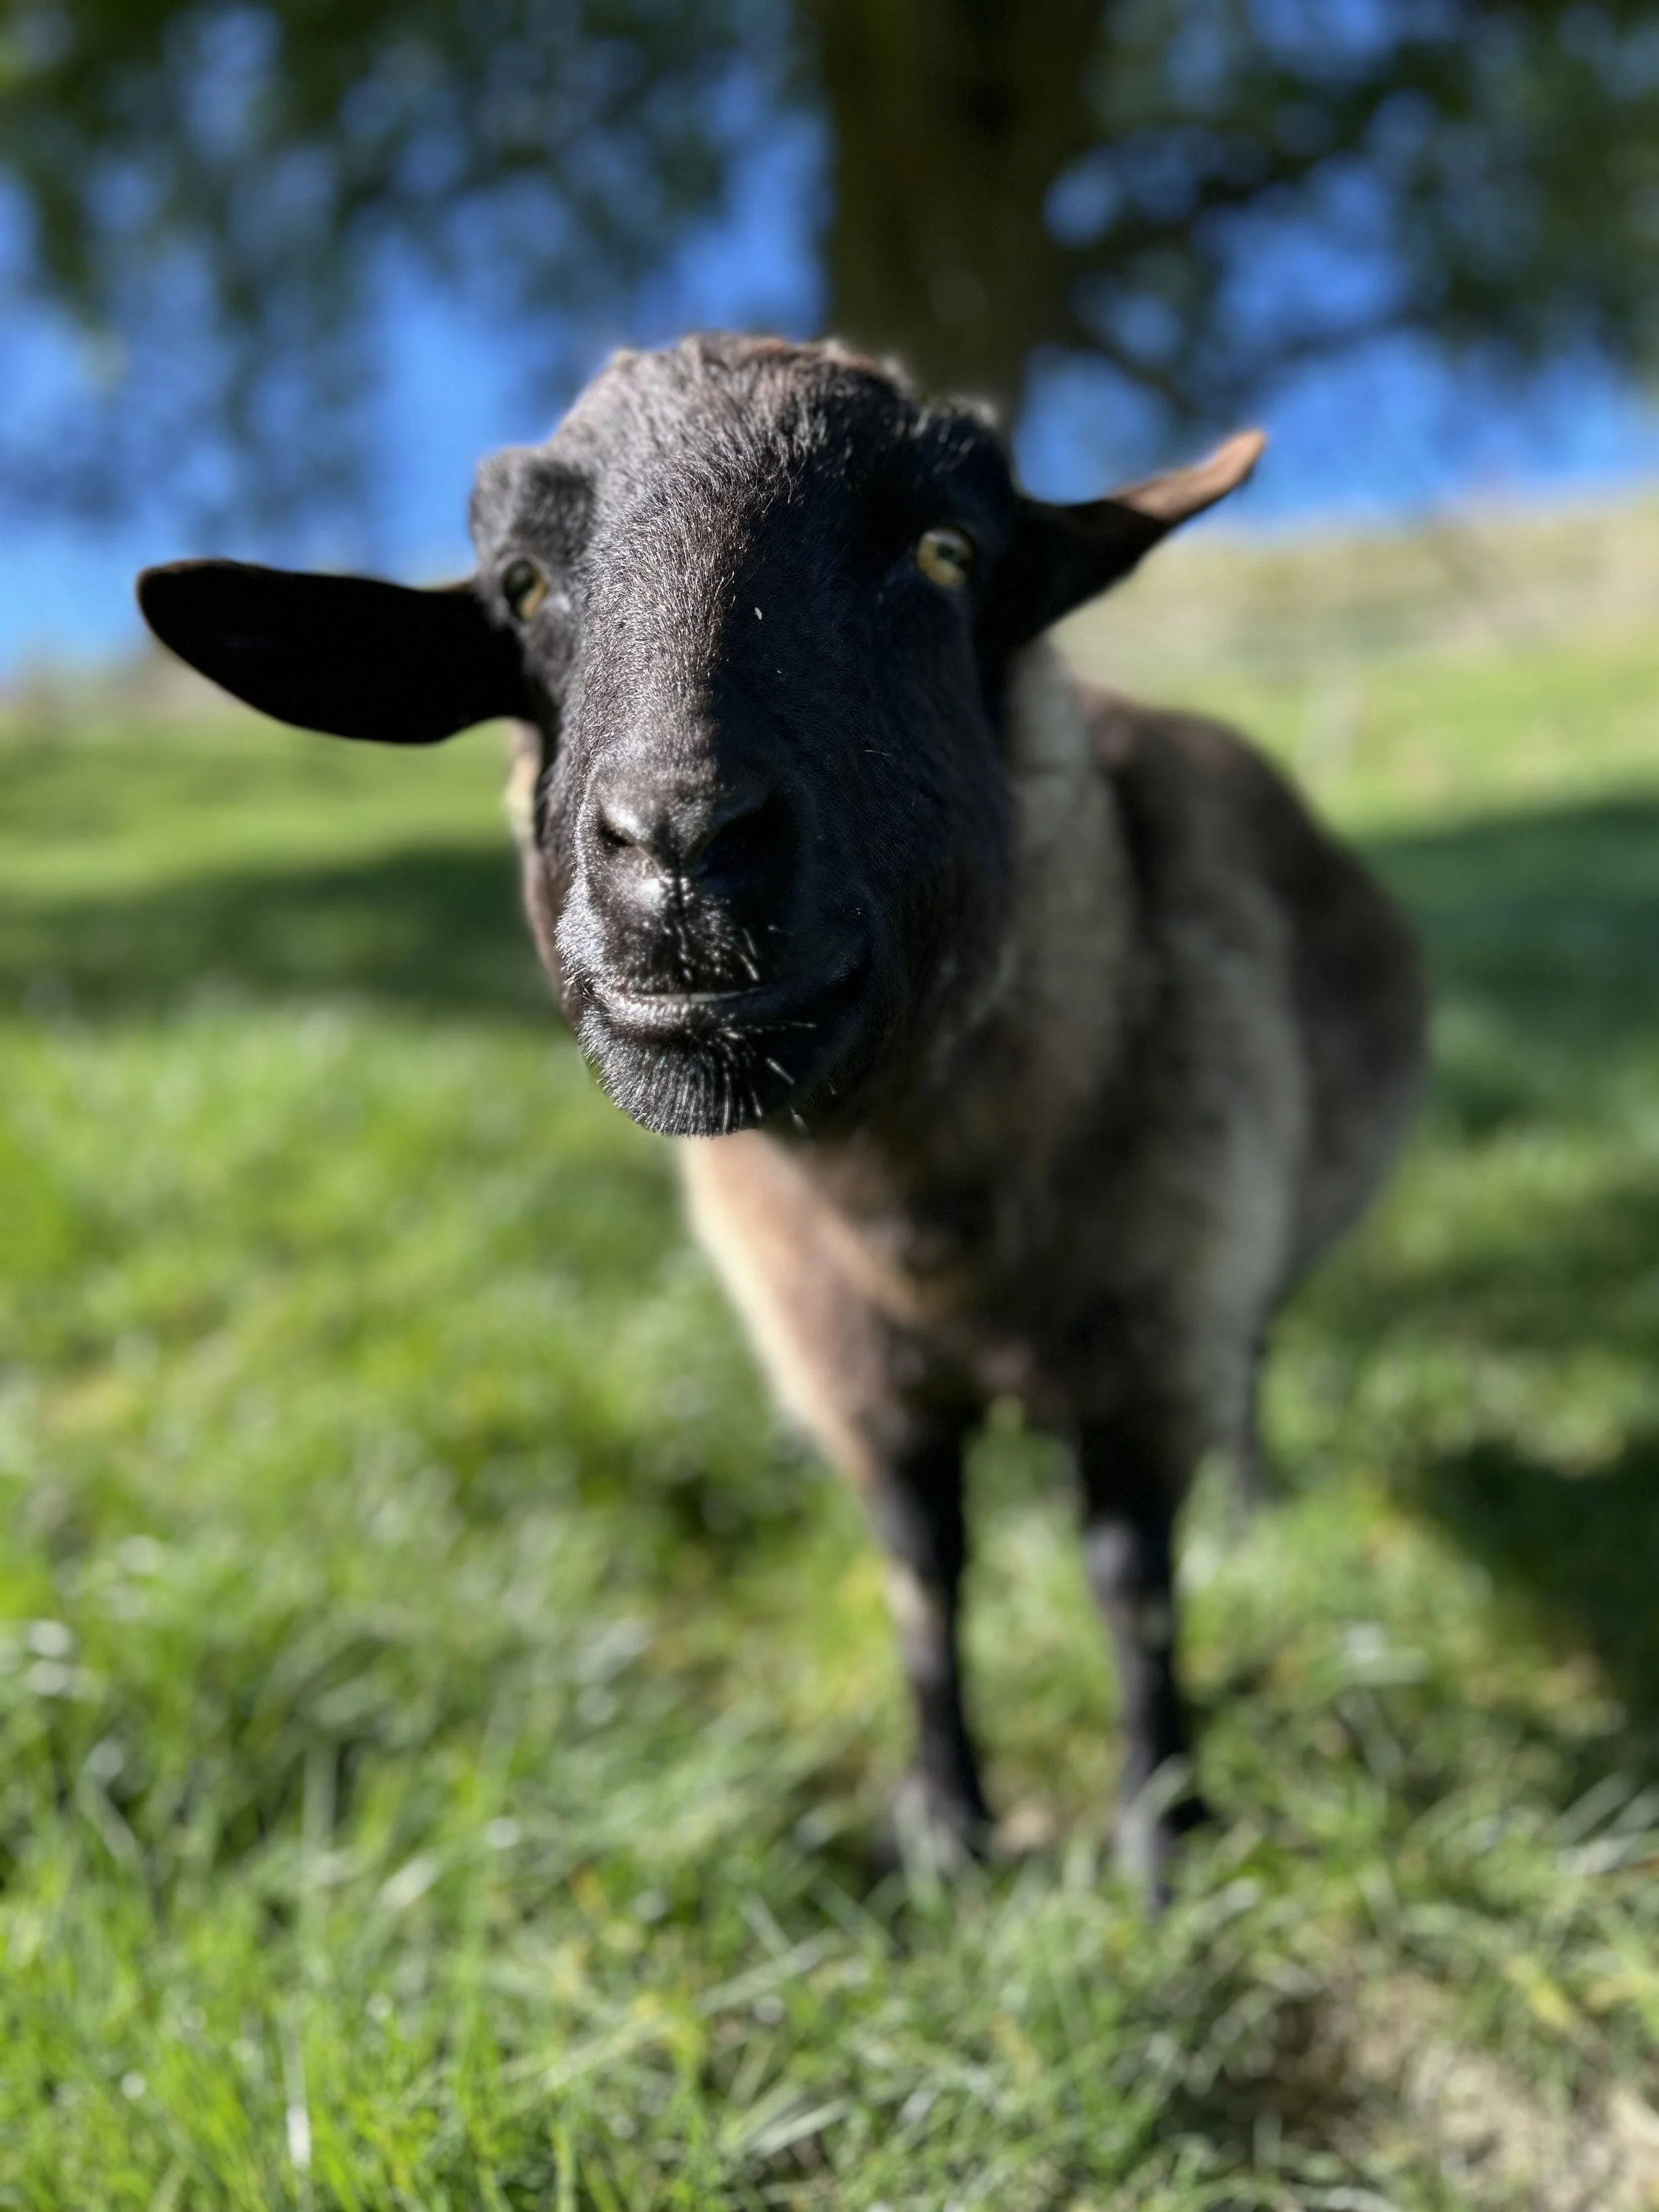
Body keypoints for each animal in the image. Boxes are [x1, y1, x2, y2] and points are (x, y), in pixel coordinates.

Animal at [138, 334, 1425, 1892]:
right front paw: (946, 1831)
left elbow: (1136, 1593)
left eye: (946, 550)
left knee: (1250, 1375)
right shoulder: (850, 1377)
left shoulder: (1153, 1338)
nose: (680, 851)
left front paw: (1159, 1836)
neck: (924, 1223)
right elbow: (923, 1582)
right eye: (523, 586)